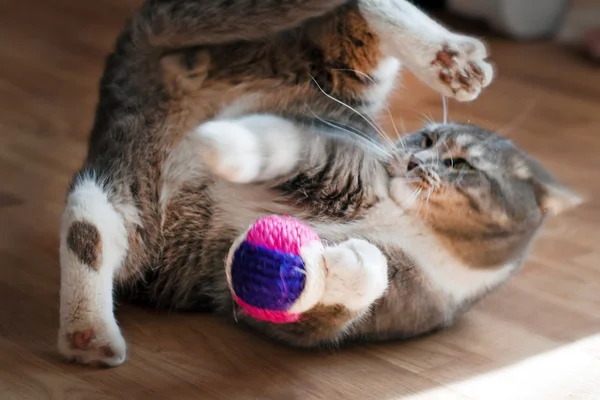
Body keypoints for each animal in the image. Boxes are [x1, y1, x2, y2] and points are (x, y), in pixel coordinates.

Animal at [58, 0, 580, 368]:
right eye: (428, 137)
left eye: (460, 164)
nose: (412, 160)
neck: (415, 226)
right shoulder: (334, 151)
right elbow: (285, 143)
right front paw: (220, 142)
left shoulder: (391, 304)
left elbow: (346, 296)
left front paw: (341, 264)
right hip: (337, 71)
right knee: (359, 15)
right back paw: (451, 59)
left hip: (133, 200)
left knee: (88, 228)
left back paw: (88, 336)